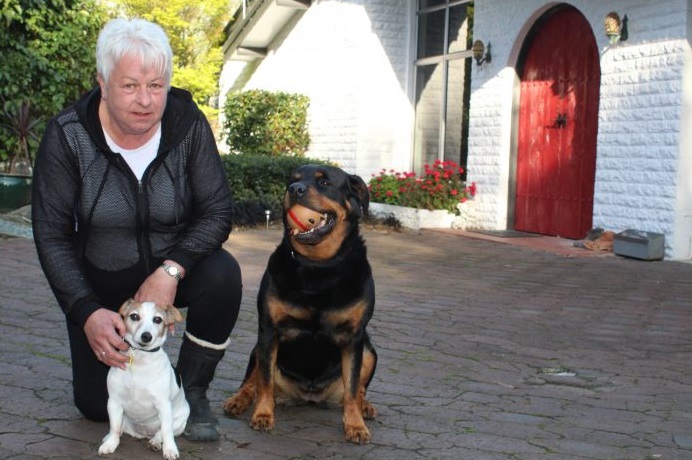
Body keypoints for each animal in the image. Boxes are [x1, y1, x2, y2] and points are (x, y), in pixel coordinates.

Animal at [97, 300, 189, 458]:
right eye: (134, 316)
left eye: (157, 319)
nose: (146, 336)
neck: (140, 359)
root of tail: (143, 434)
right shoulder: (114, 402)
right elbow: (114, 427)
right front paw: (110, 444)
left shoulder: (164, 406)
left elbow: (166, 432)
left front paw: (170, 449)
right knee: (120, 428)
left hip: (179, 421)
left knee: (160, 433)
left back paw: (156, 442)